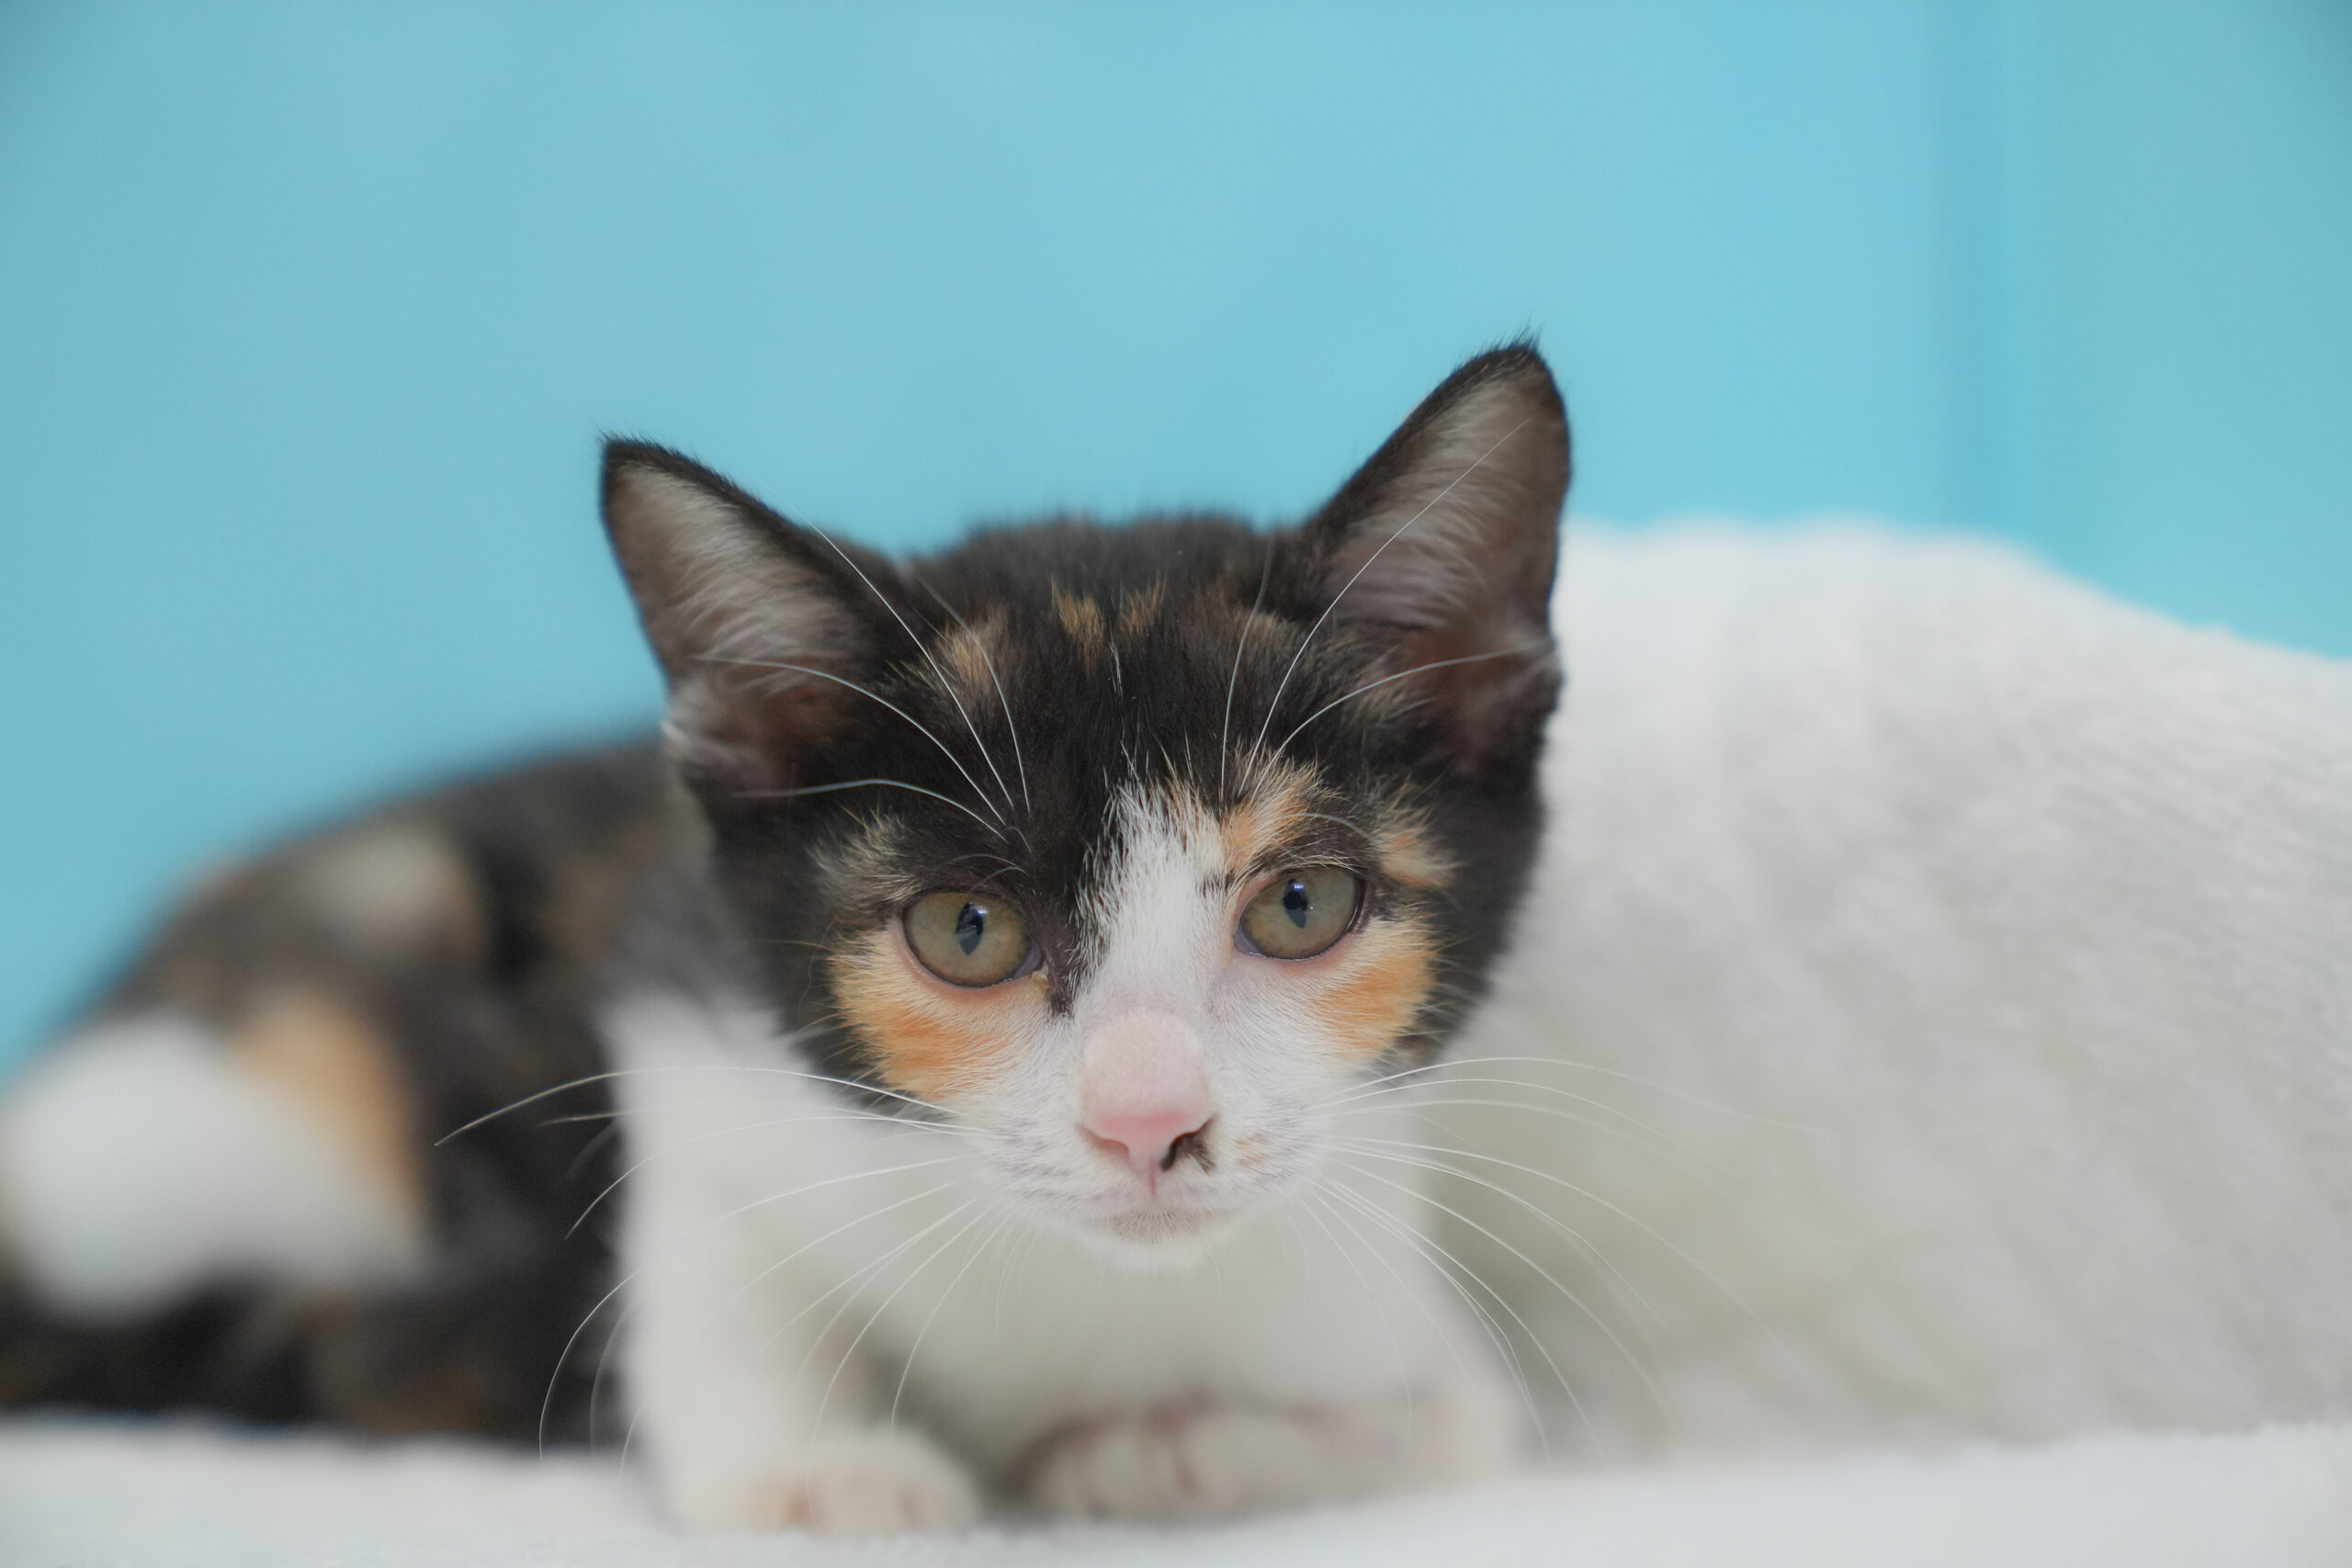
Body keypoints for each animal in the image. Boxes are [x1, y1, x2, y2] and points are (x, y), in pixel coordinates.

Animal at [0, 346, 1572, 1533]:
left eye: (1301, 905)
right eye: (968, 929)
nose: (1148, 1122)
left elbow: (1458, 1418)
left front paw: (1168, 1446)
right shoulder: (684, 1008)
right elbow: (709, 1269)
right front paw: (818, 1464)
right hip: (221, 1118)